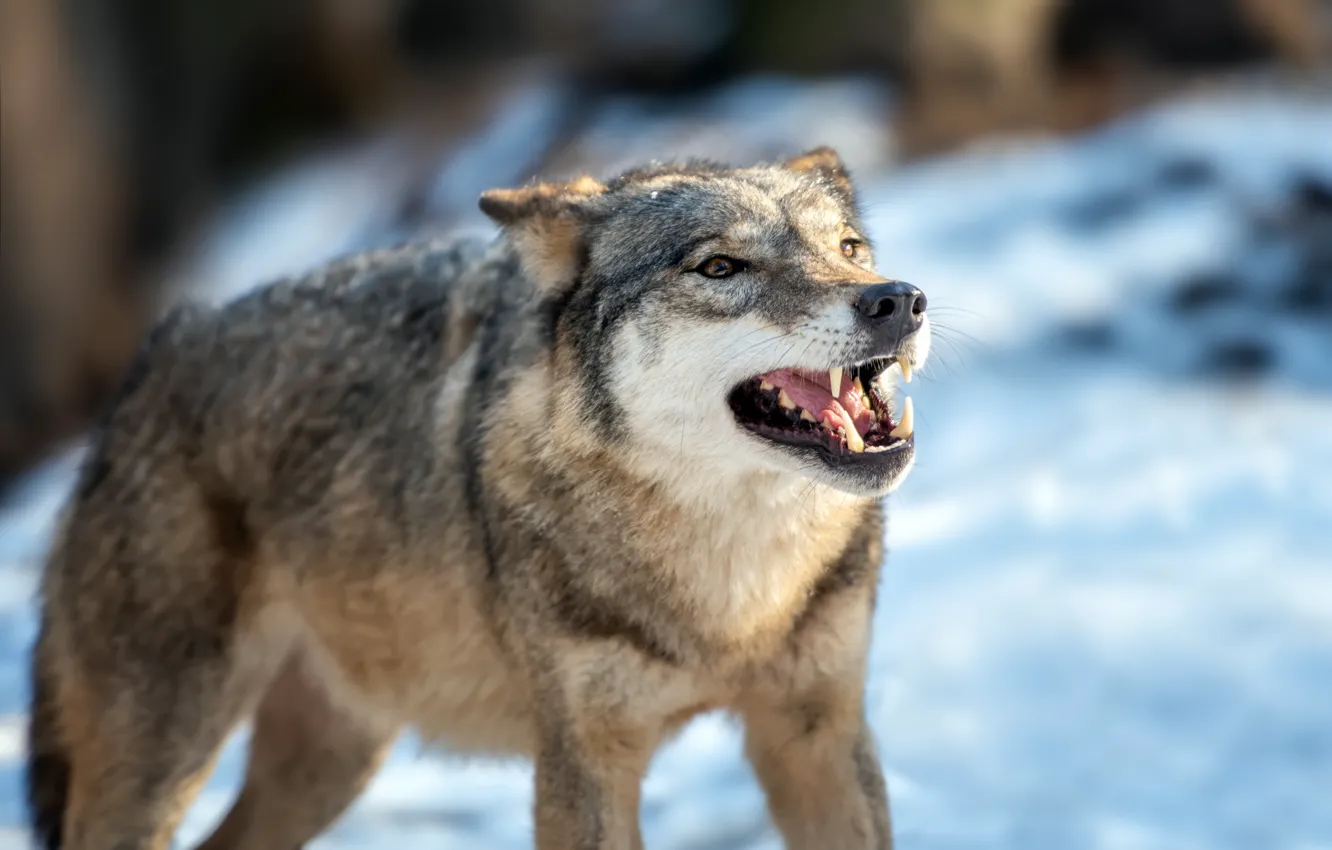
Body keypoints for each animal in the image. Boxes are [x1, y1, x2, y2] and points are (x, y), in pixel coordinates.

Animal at [26, 147, 930, 850]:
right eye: (719, 267)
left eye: (850, 247)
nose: (898, 299)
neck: (732, 599)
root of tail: (153, 358)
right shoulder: (581, 763)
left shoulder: (819, 735)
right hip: (164, 761)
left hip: (330, 761)